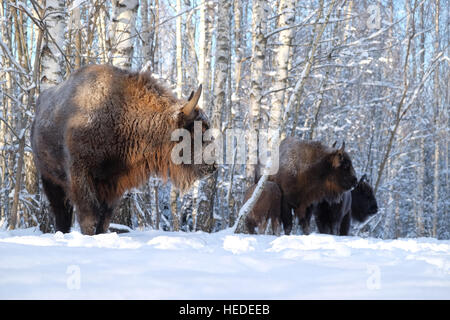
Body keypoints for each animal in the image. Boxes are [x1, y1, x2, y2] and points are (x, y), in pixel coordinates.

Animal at [31, 65, 216, 235]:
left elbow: (104, 219)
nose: (213, 166)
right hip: (49, 179)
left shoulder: (113, 183)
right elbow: (89, 216)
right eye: (197, 130)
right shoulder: (80, 176)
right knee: (61, 212)